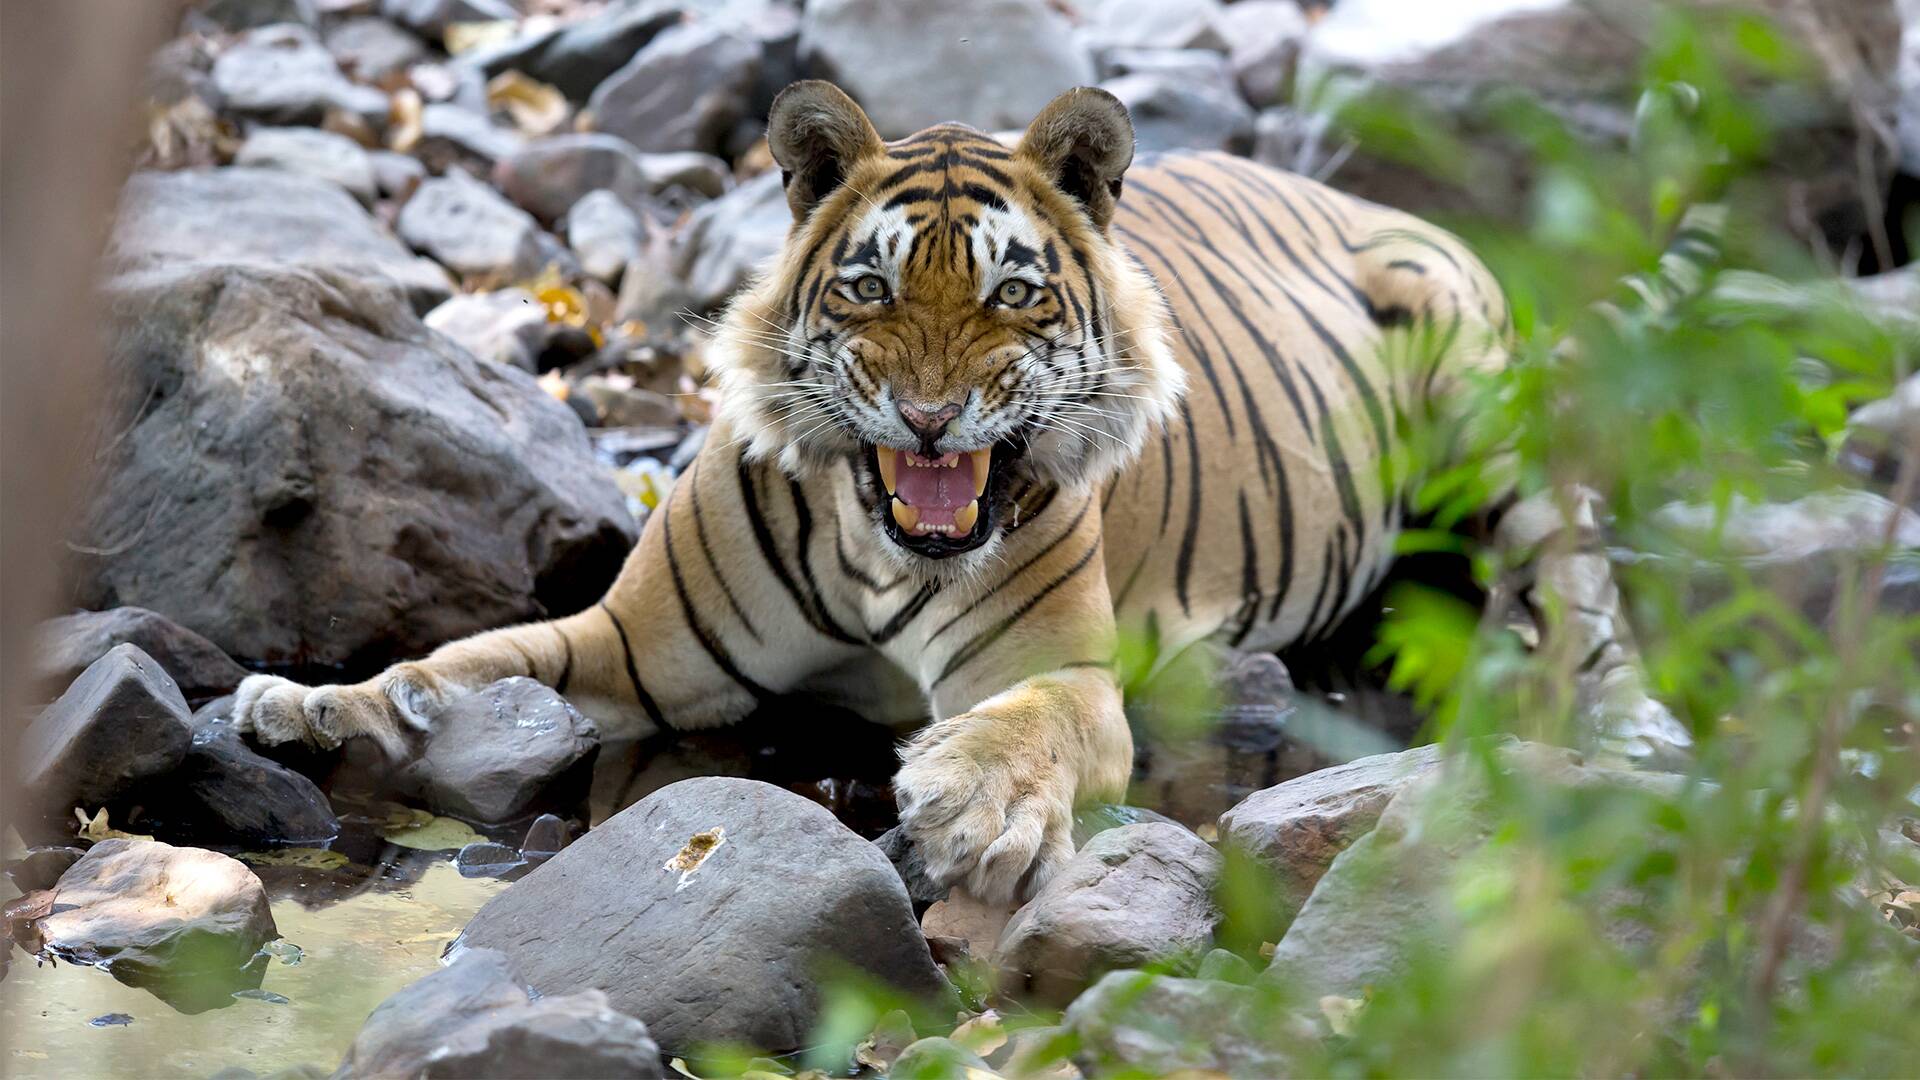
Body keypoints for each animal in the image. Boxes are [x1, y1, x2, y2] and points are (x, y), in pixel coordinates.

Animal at [224, 77, 1635, 899]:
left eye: (1014, 292)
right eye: (870, 286)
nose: (929, 416)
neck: (878, 547)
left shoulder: (1063, 672)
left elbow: (1027, 729)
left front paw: (968, 809)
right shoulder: (623, 645)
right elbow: (466, 660)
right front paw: (312, 704)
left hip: (1490, 405)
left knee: (1585, 598)